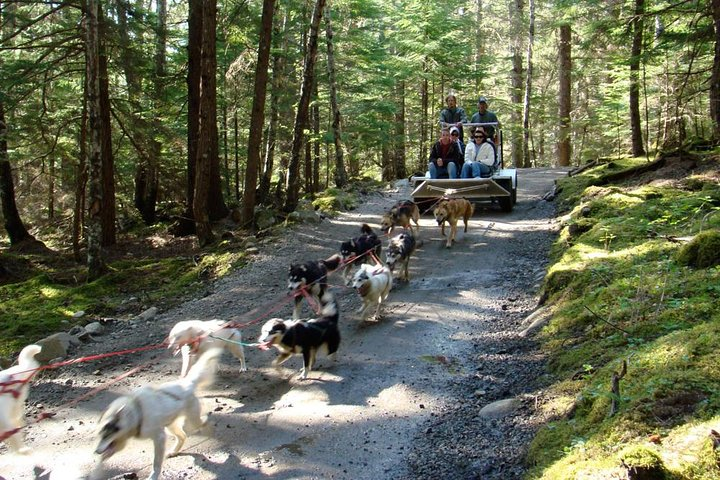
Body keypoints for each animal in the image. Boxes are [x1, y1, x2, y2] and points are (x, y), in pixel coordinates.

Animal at [95, 346, 222, 478]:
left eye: (106, 435)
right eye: (100, 435)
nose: (97, 452)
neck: (137, 411)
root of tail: (187, 383)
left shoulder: (159, 438)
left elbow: (156, 462)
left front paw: (153, 476)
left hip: (191, 421)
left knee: (204, 421)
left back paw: (208, 428)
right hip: (171, 426)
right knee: (182, 436)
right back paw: (173, 451)